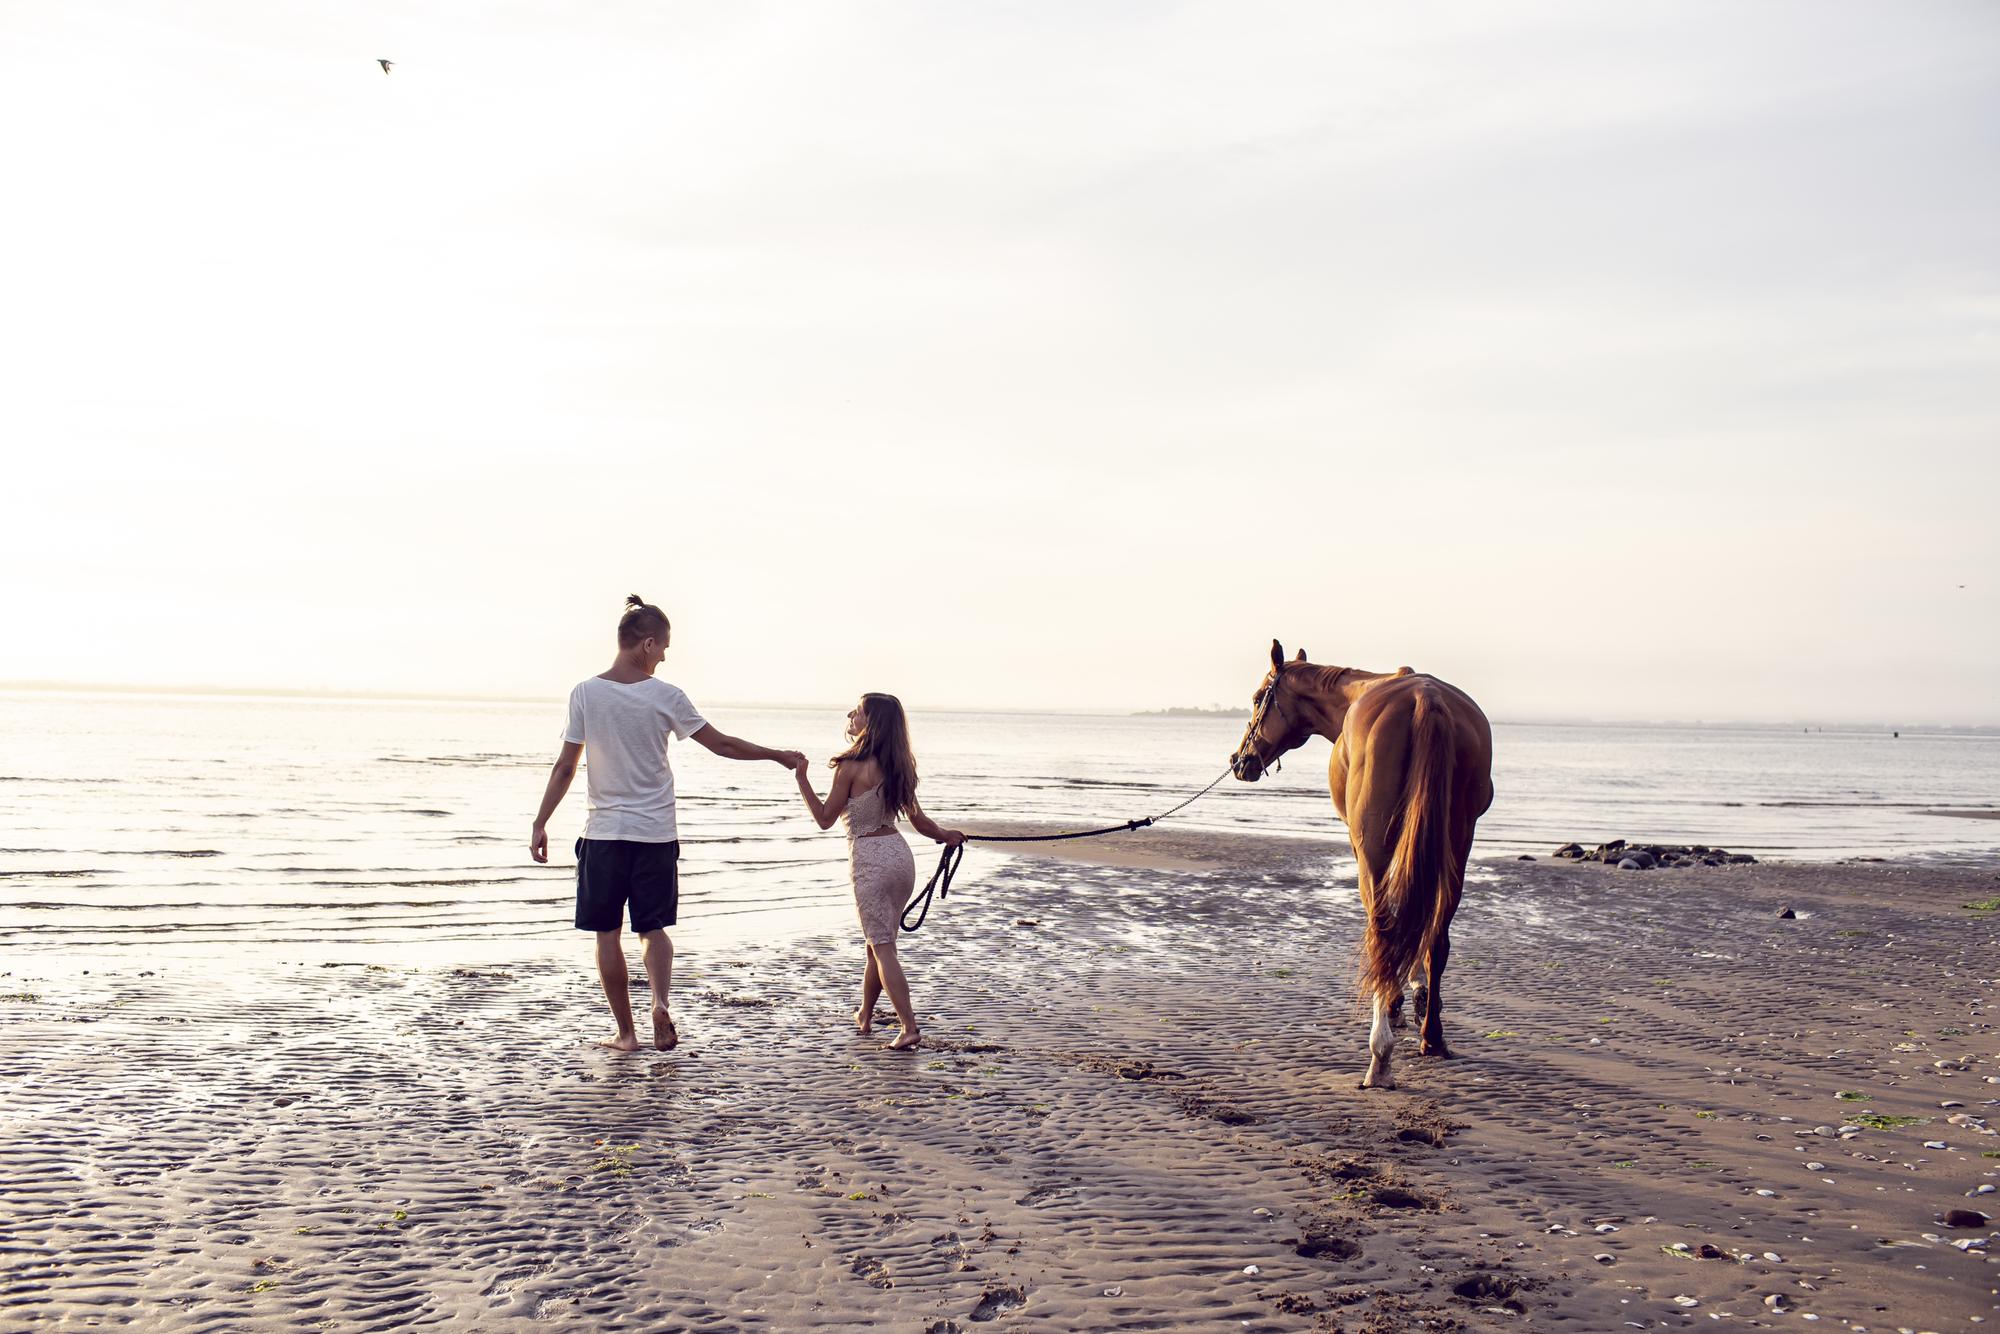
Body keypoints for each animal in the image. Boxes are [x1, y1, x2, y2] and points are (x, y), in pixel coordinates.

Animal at [1224, 640, 1496, 1088]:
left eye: (1258, 697)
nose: (1238, 761)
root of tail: (1427, 701)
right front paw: (1419, 996)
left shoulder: (1360, 846)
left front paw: (1399, 1001)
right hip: (1457, 844)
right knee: (1436, 937)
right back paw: (1432, 1037)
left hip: (1374, 850)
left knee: (1382, 931)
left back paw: (1380, 1054)